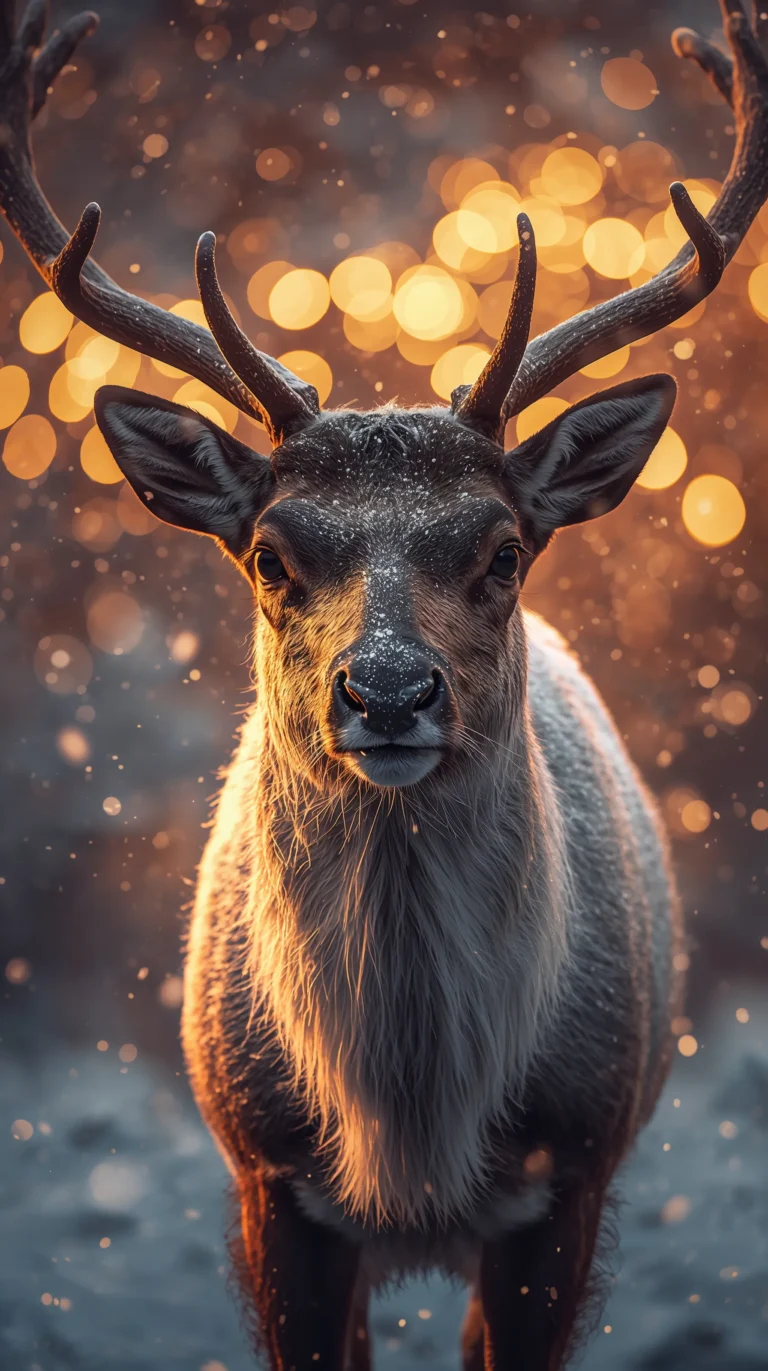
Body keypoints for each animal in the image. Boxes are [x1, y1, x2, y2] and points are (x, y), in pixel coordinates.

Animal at [3, 1, 768, 1366]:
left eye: (504, 549)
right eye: (270, 553)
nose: (392, 692)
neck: (411, 1127)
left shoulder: (571, 1174)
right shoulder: (266, 1178)